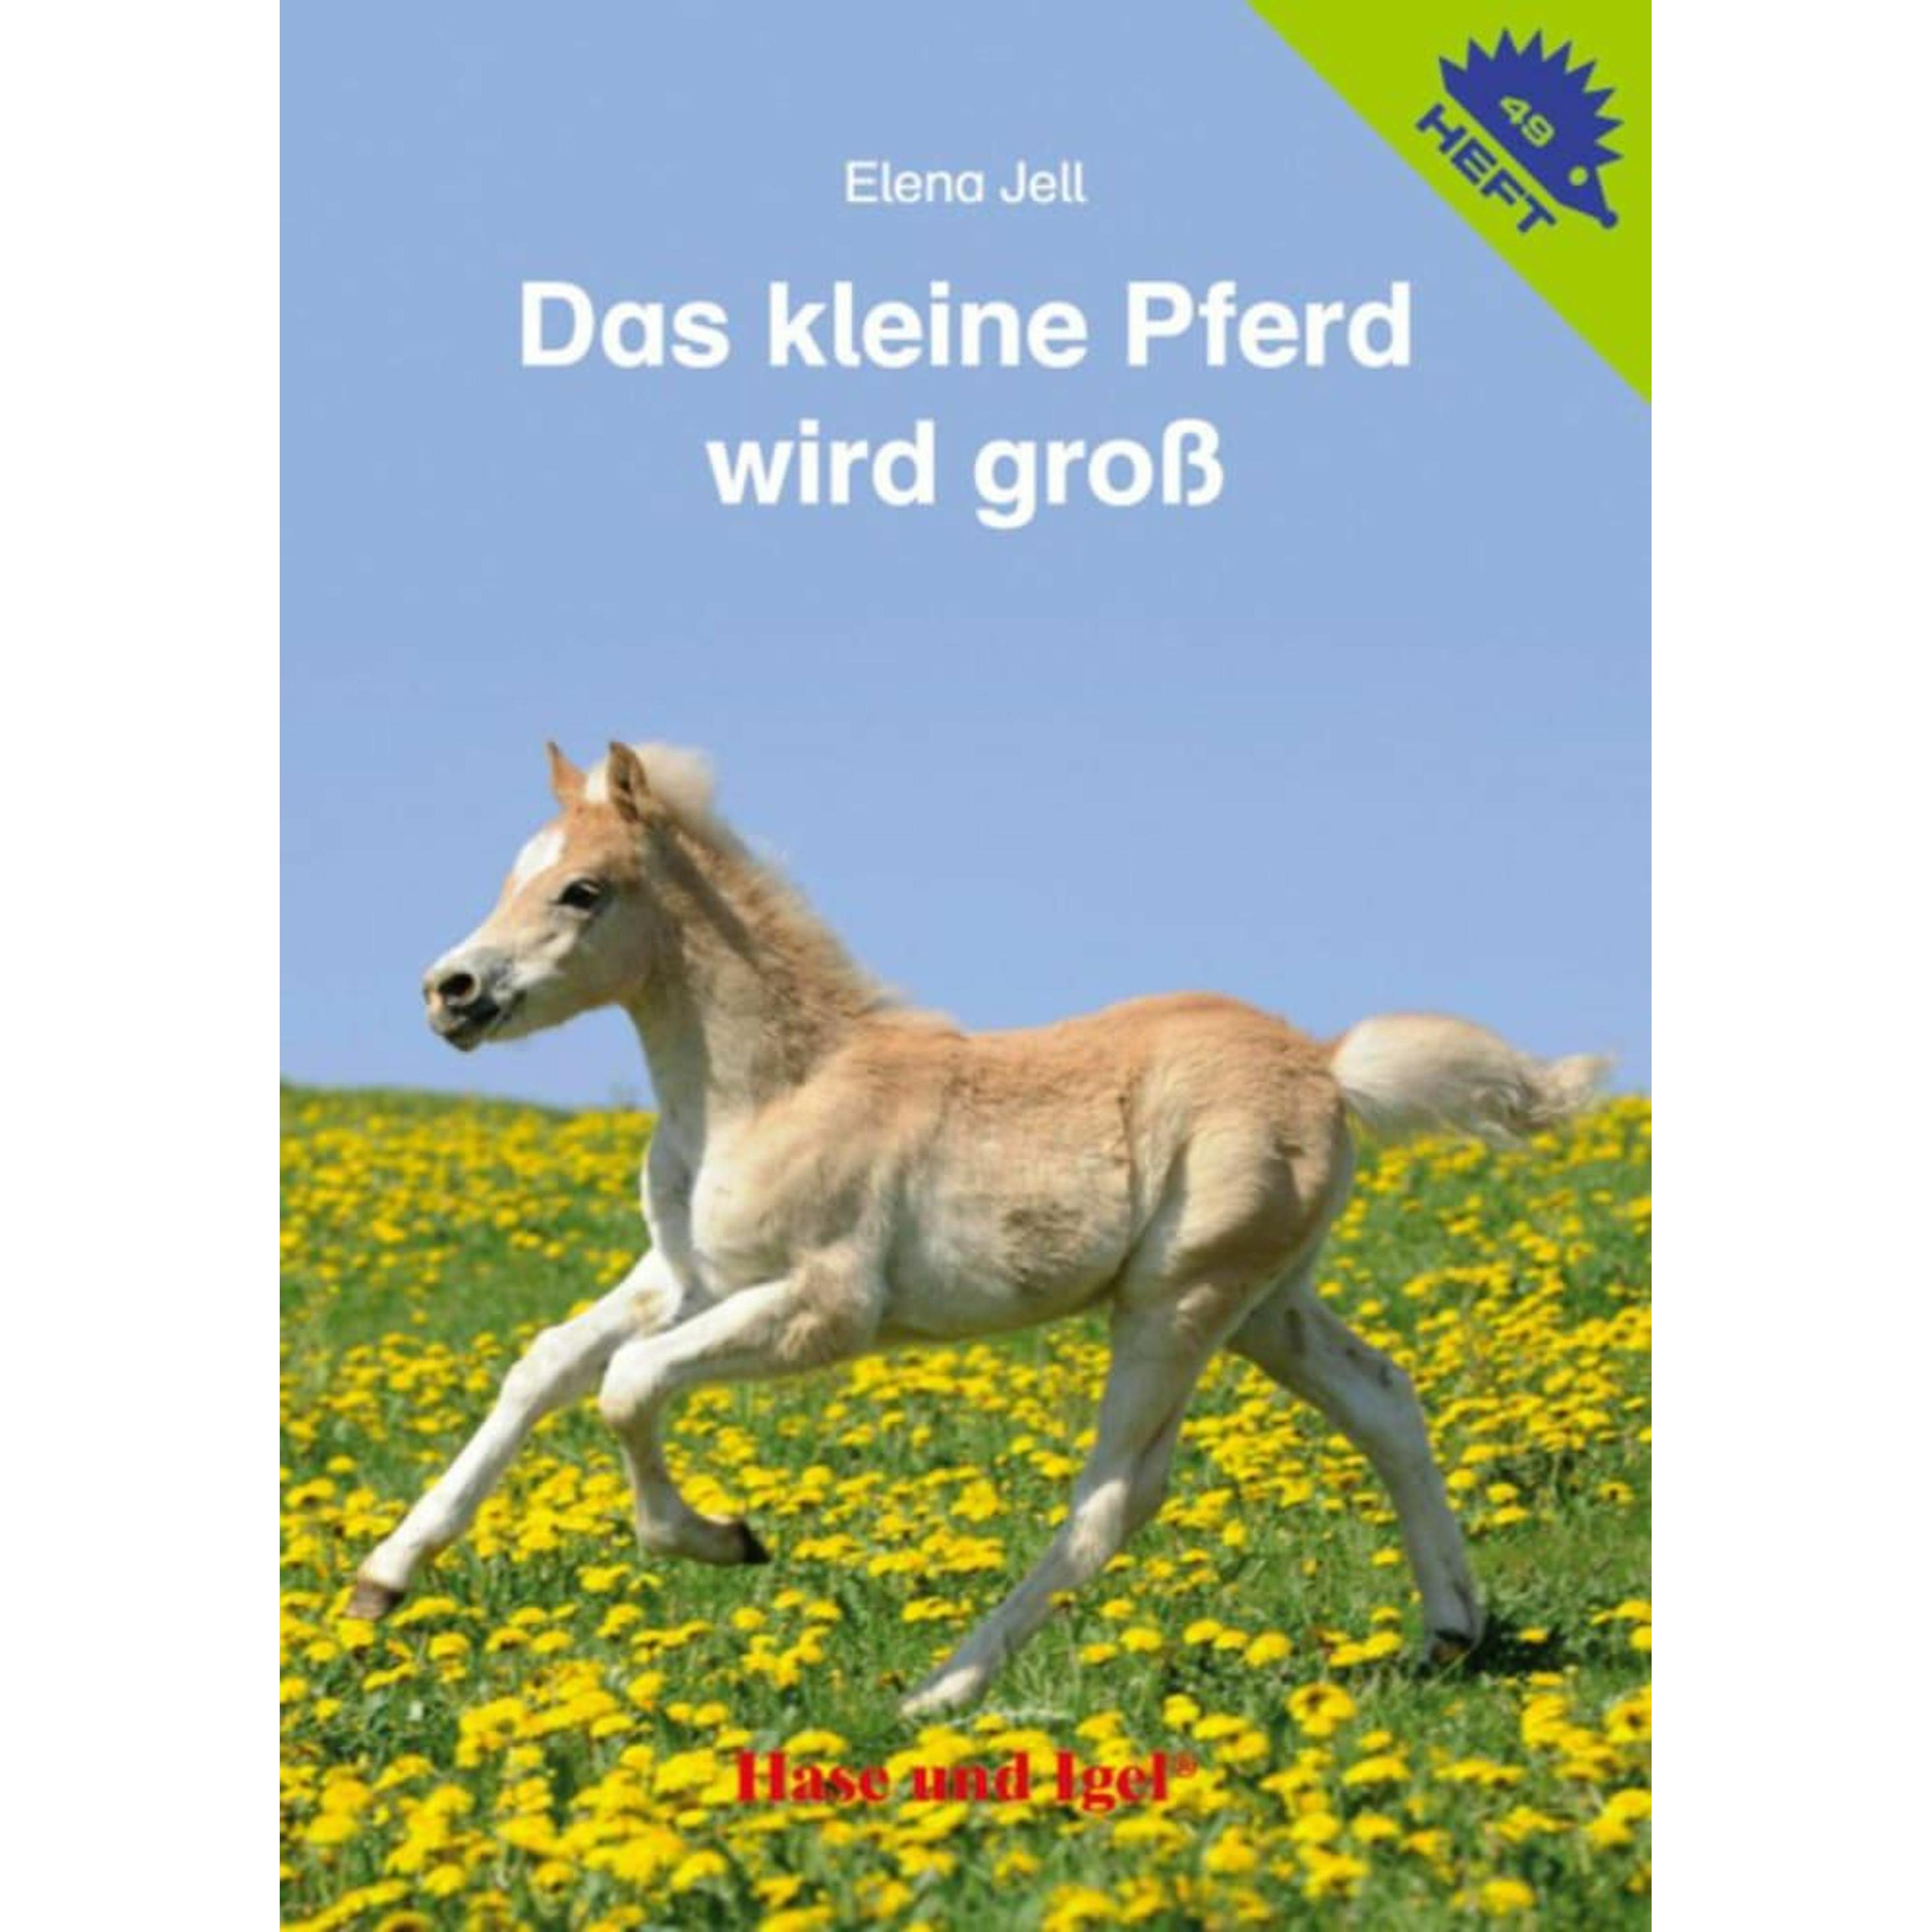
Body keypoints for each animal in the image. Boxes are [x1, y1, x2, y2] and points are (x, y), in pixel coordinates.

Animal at [349, 741, 1605, 1717]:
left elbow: (628, 1386)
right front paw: (380, 1581)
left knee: (1115, 1499)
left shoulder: (822, 1310)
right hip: (1268, 1304)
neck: (773, 1089)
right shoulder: (686, 1274)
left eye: (583, 892)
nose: (451, 992)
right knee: (1384, 1399)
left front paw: (724, 1538)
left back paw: (938, 1693)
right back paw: (1452, 1630)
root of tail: (1329, 1066)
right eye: (514, 873)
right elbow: (548, 1366)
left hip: (1180, 1301)